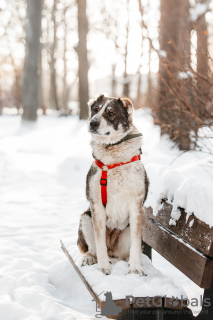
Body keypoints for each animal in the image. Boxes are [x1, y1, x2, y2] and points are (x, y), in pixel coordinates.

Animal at [77, 94, 149, 276]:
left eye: (110, 113)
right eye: (95, 110)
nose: (92, 122)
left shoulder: (136, 207)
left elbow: (136, 245)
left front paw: (135, 269)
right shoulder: (96, 207)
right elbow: (99, 242)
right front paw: (103, 267)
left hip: (127, 231)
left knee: (127, 252)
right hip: (85, 218)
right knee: (92, 249)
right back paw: (90, 258)